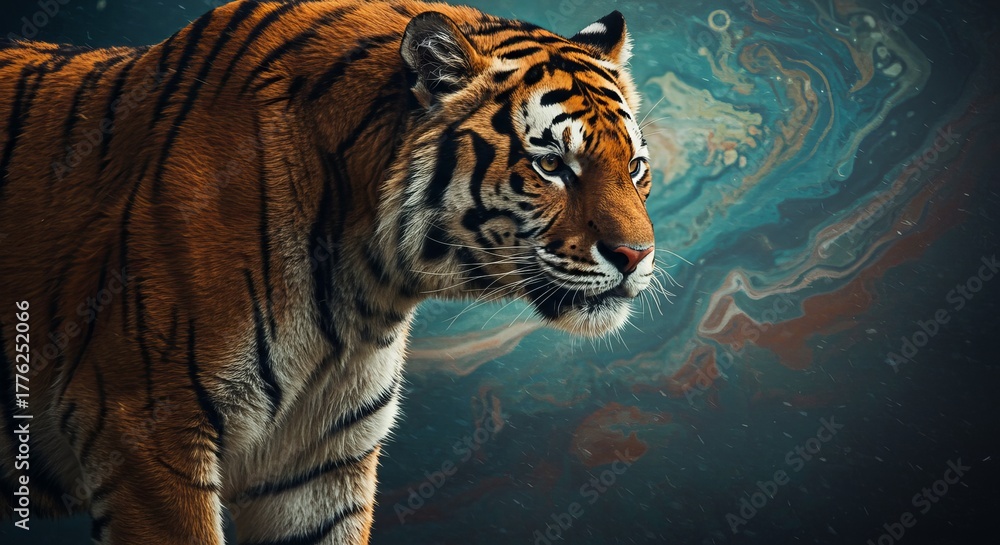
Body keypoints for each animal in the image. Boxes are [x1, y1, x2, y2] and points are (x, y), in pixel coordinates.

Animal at [0, 0, 655, 543]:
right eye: (552, 165)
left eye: (636, 166)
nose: (637, 256)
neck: (367, 287)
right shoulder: (144, 431)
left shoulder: (318, 464)